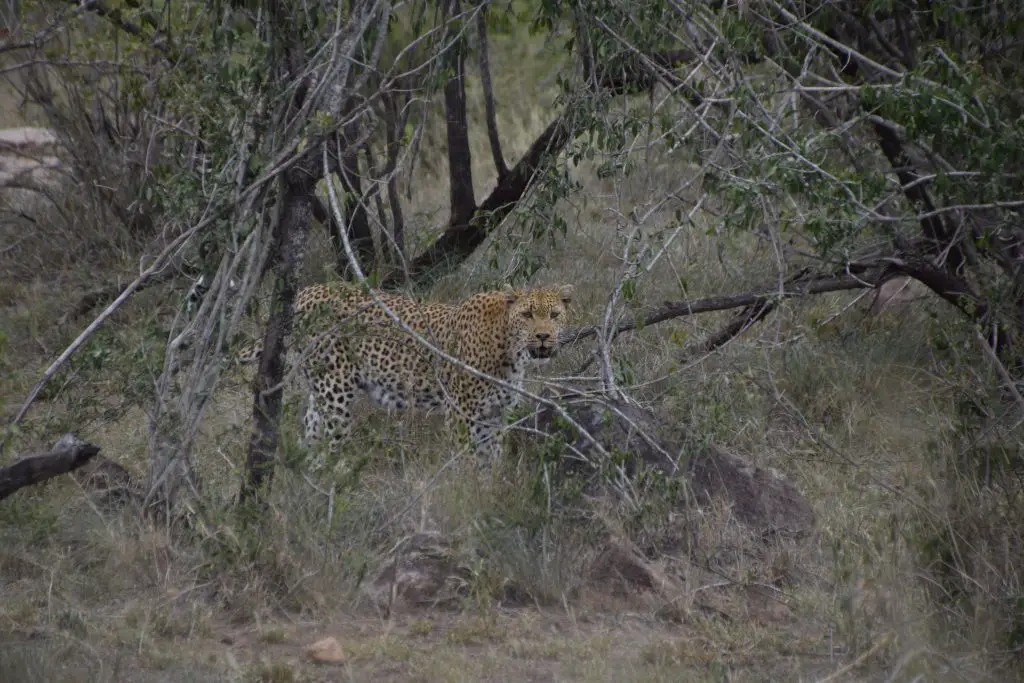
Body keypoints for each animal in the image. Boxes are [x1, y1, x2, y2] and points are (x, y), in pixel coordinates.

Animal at [236, 280, 581, 462]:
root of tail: (307, 292)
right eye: (527, 315)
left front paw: (487, 494)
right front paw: (465, 493)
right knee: (328, 445)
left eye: (554, 315)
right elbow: (466, 459)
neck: (510, 349)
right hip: (335, 391)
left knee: (310, 432)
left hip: (320, 389)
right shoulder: (461, 413)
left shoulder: (494, 415)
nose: (543, 336)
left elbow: (490, 460)